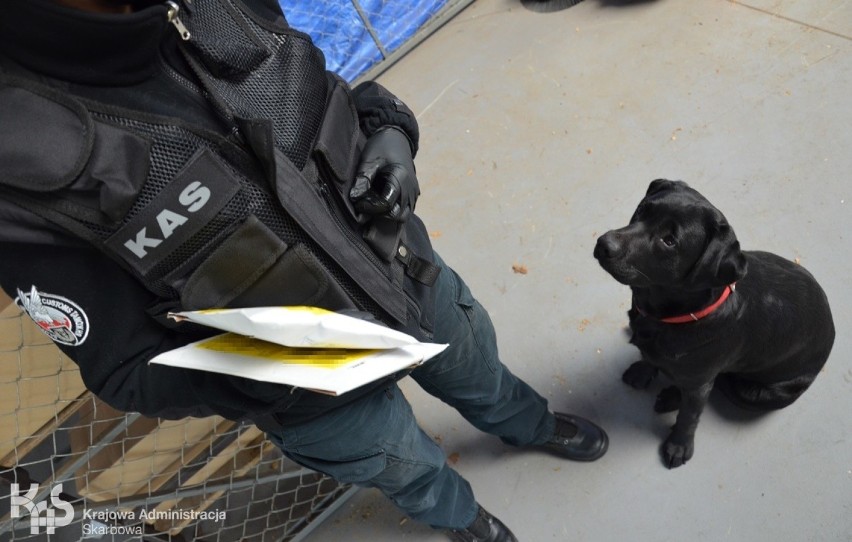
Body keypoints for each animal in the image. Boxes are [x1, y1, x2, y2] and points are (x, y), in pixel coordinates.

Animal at [592, 181, 832, 470]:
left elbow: (689, 416)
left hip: (757, 393)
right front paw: (643, 369)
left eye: (669, 241)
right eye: (642, 209)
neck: (669, 317)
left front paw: (679, 445)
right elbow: (651, 359)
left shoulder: (700, 382)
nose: (604, 244)